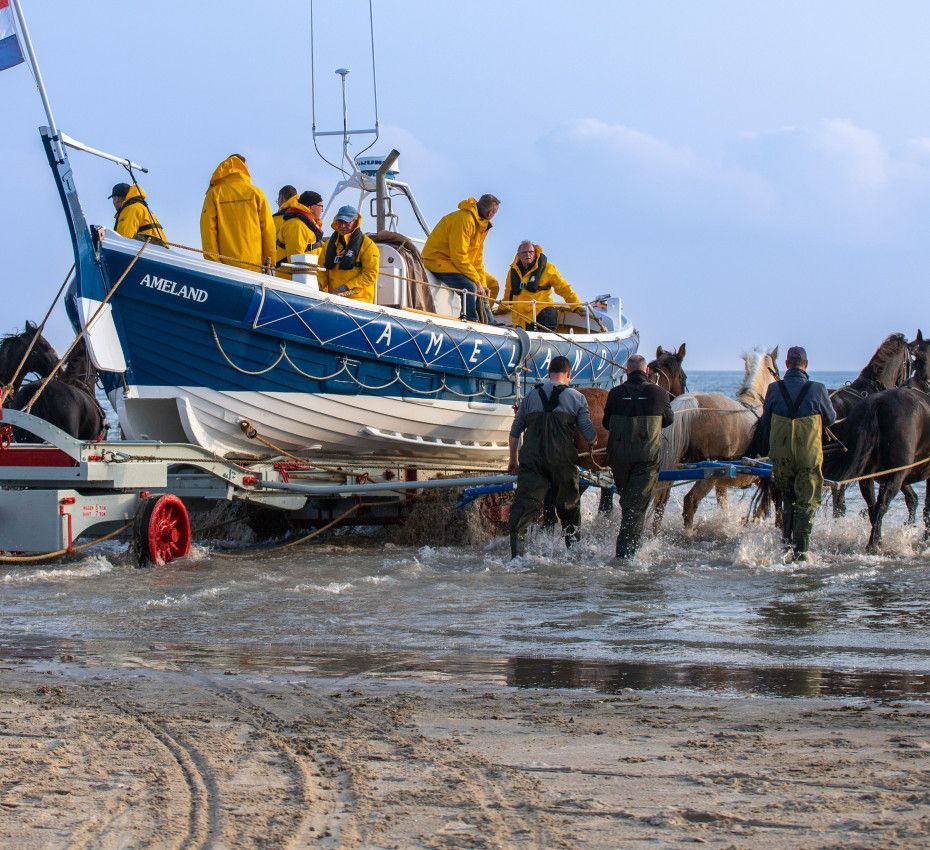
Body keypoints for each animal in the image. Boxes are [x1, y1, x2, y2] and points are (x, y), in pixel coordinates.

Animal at [648, 344, 780, 528]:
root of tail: (692, 403)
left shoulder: (722, 484)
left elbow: (725, 506)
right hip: (708, 472)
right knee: (690, 501)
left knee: (661, 502)